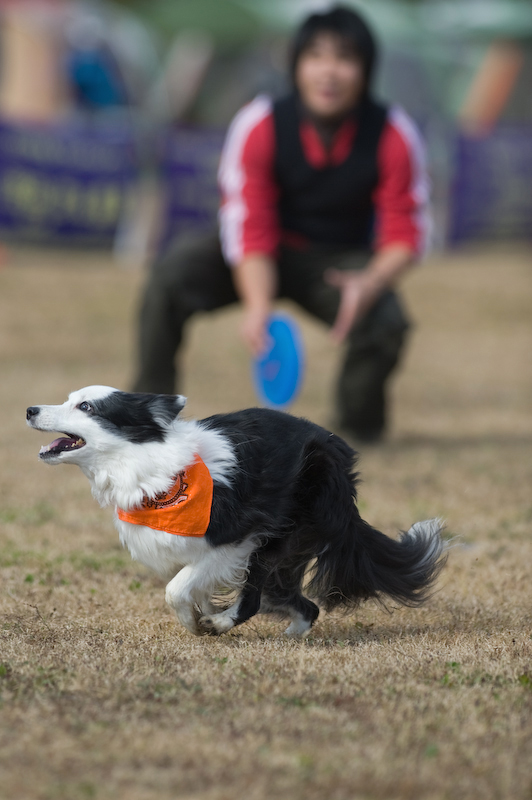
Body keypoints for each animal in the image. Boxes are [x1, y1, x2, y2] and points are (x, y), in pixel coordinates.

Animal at [28, 388, 444, 636]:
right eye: (69, 398)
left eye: (86, 406)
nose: (30, 409)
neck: (150, 466)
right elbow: (194, 587)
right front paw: (201, 613)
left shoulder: (233, 540)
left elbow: (175, 589)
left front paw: (197, 624)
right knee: (305, 605)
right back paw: (294, 634)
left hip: (279, 537)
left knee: (256, 598)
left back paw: (225, 623)